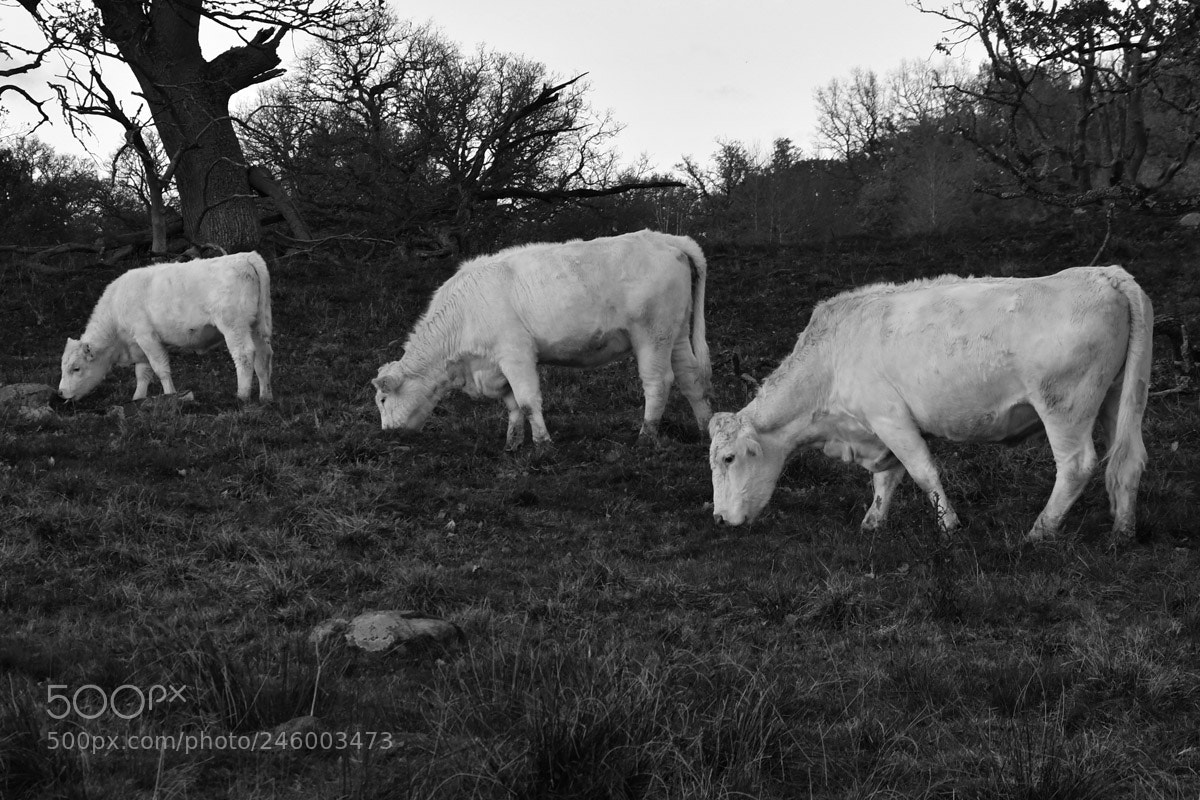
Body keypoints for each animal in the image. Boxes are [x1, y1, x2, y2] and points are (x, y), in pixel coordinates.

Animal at [59, 252, 274, 403]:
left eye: (76, 368)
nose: (60, 392)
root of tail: (246, 256)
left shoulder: (146, 337)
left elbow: (160, 368)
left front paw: (171, 396)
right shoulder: (139, 346)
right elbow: (143, 374)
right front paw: (138, 398)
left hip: (233, 326)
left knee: (244, 355)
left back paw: (242, 396)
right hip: (256, 326)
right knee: (263, 356)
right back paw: (265, 396)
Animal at [372, 229, 713, 449]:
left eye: (383, 400)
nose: (387, 432)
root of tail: (666, 238)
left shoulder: (515, 354)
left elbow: (526, 401)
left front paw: (542, 444)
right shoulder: (496, 366)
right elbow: (512, 405)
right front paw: (512, 445)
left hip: (652, 334)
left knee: (658, 382)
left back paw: (645, 437)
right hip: (676, 334)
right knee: (690, 378)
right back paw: (706, 429)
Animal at [708, 266, 1153, 544]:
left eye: (729, 458)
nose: (719, 518)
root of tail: (1104, 274)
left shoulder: (889, 418)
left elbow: (922, 472)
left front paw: (950, 526)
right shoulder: (879, 430)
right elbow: (886, 478)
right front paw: (872, 523)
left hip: (1064, 406)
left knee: (1077, 466)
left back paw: (1040, 532)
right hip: (1118, 400)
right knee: (1128, 459)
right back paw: (1123, 529)